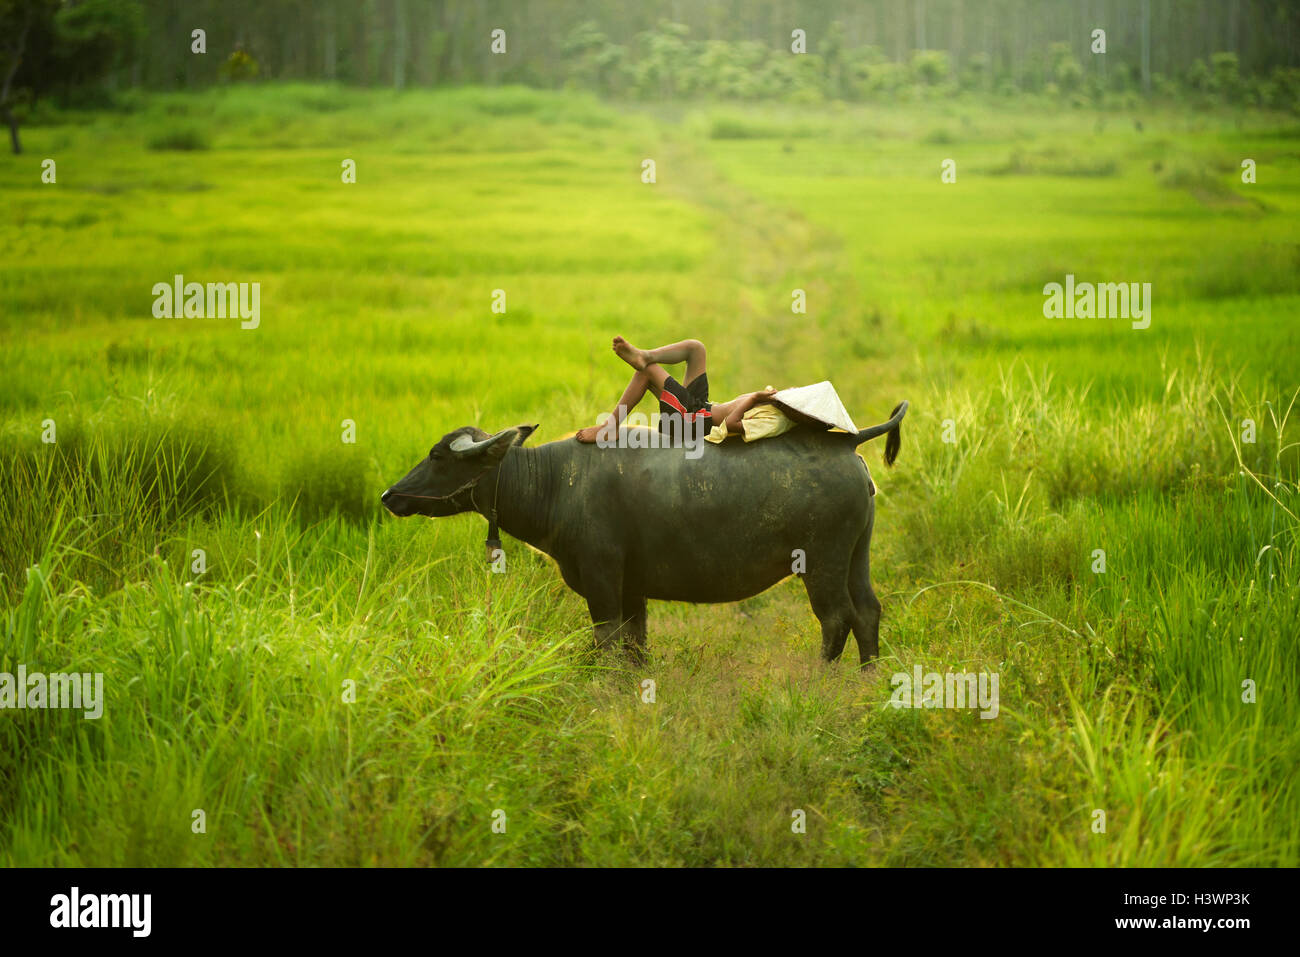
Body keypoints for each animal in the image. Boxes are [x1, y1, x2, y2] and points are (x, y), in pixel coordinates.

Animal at [382, 401, 907, 665]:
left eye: (438, 456)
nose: (390, 496)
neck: (554, 483)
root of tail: (849, 444)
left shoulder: (601, 581)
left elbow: (608, 644)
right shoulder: (632, 589)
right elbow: (636, 648)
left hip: (822, 562)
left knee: (836, 619)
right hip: (856, 556)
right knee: (868, 613)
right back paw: (868, 677)